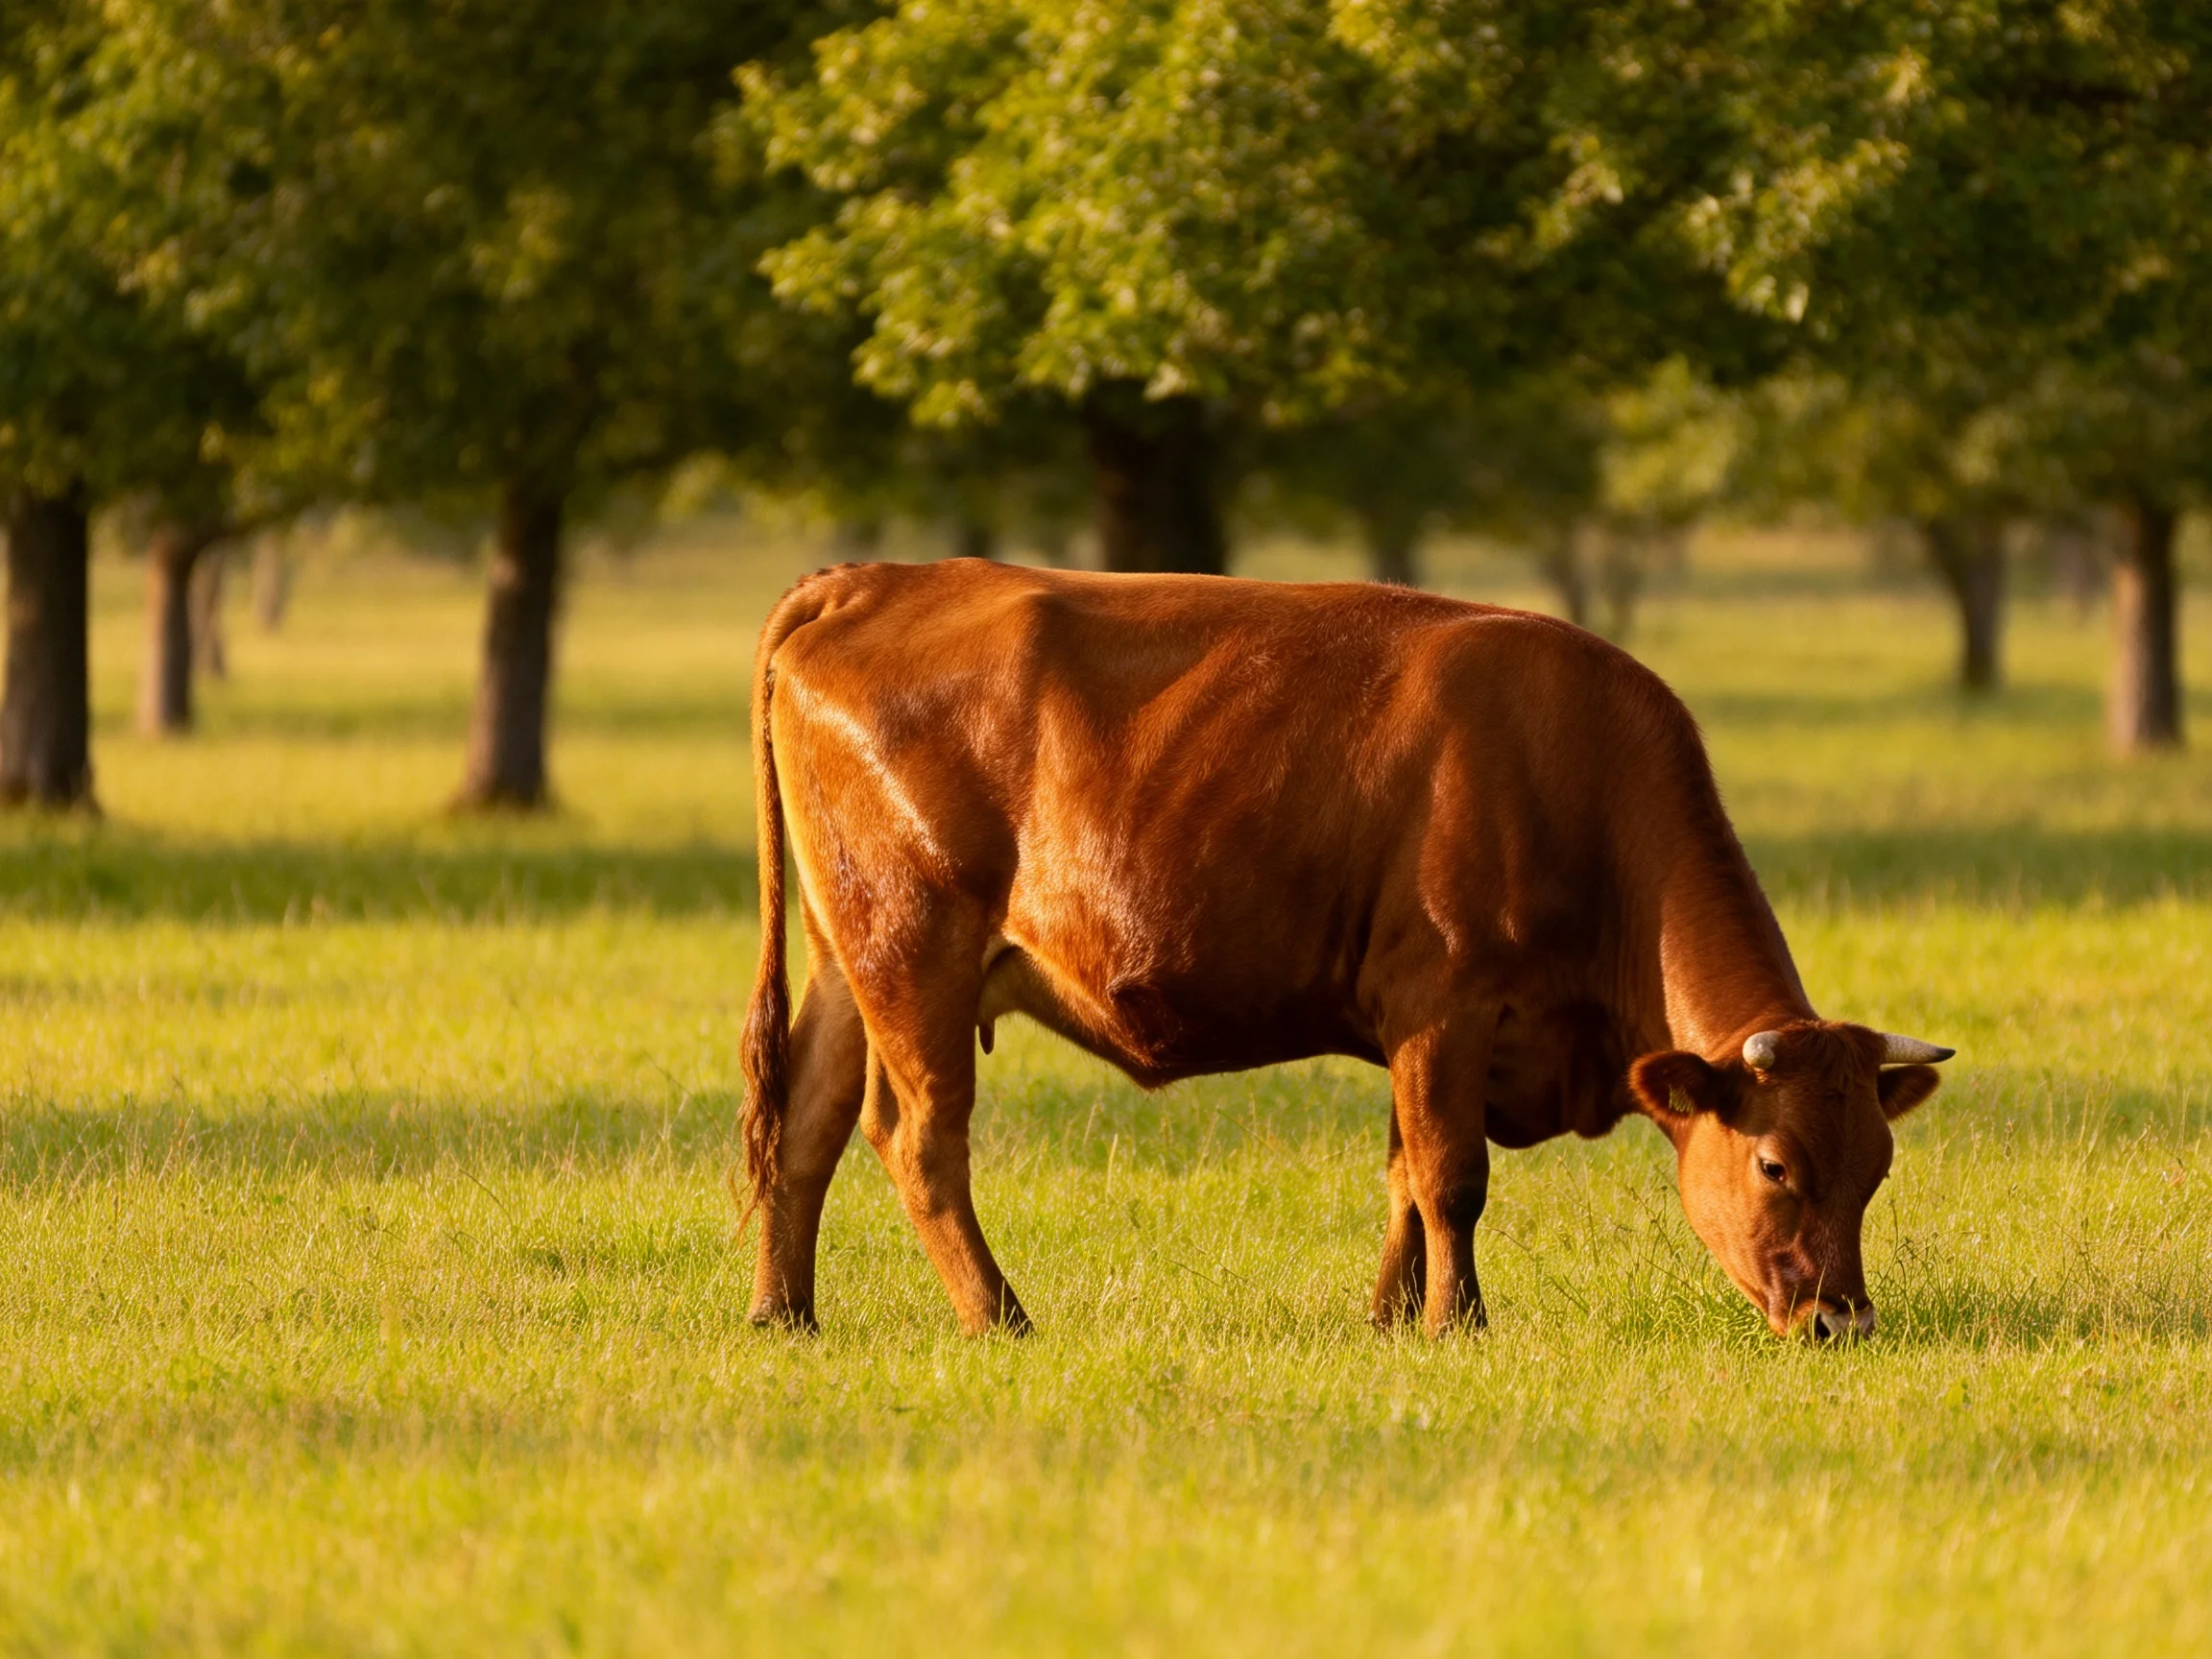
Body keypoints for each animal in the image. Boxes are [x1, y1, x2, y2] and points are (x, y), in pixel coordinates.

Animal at [738, 559, 1952, 1341]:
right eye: (1776, 1164)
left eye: (1878, 1168)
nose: (1845, 1321)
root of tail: (871, 578)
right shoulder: (1442, 1002)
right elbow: (1452, 1177)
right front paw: (1458, 1323)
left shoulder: (1415, 1027)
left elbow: (1404, 1174)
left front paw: (1388, 1316)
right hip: (916, 949)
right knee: (920, 1141)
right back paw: (1000, 1316)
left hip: (849, 958)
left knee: (806, 1126)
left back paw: (784, 1314)